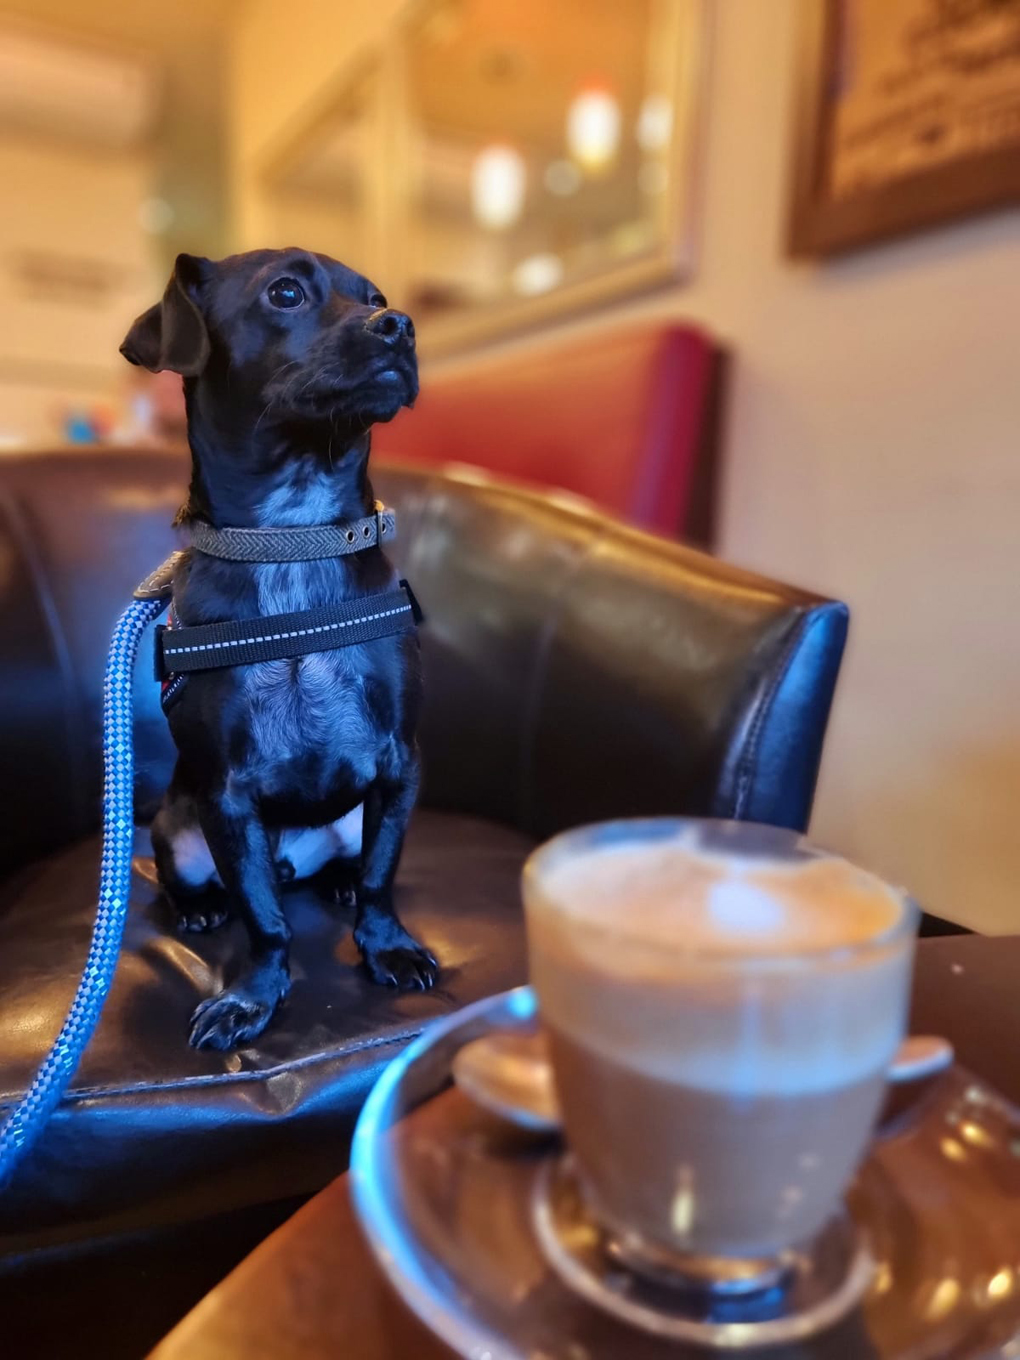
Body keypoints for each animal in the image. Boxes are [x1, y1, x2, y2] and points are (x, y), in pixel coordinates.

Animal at [121, 247, 437, 1049]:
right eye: (285, 293)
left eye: (376, 298)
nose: (400, 325)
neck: (293, 540)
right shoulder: (226, 798)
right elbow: (263, 918)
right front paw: (252, 998)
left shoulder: (400, 760)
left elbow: (385, 877)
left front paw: (387, 947)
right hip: (177, 830)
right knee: (220, 885)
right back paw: (199, 908)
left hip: (351, 819)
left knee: (352, 862)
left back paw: (338, 881)